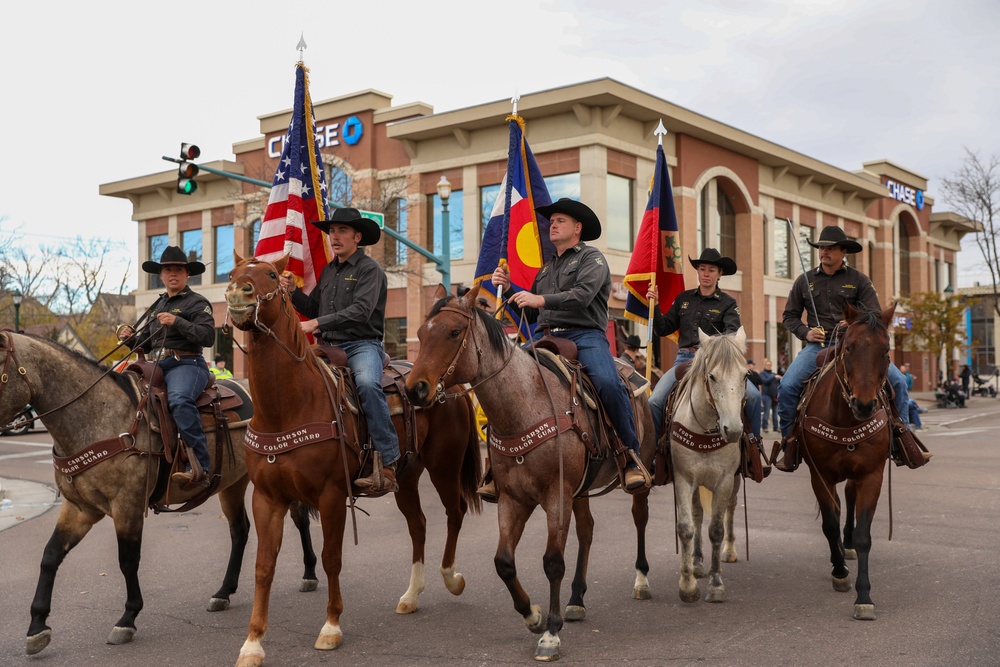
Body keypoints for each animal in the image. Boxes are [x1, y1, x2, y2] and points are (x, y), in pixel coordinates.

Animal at [0, 332, 316, 656]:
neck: (99, 416)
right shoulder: (80, 508)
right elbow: (50, 556)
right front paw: (37, 626)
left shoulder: (127, 505)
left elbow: (127, 560)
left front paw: (127, 618)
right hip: (231, 482)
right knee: (239, 530)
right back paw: (223, 592)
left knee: (300, 519)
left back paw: (309, 574)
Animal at [226, 252, 480, 667]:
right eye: (232, 273)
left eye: (270, 275)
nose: (237, 293)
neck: (288, 406)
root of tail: (448, 384)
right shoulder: (267, 498)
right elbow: (263, 567)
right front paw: (252, 644)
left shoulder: (331, 495)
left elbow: (331, 557)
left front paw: (331, 627)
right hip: (406, 476)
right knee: (419, 524)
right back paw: (412, 594)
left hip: (445, 465)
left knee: (454, 512)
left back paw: (452, 578)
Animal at [402, 286, 660, 664]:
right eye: (421, 334)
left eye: (453, 332)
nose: (414, 389)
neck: (523, 407)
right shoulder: (513, 499)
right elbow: (504, 563)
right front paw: (533, 616)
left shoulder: (556, 495)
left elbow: (552, 562)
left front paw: (550, 634)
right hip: (580, 490)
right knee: (587, 530)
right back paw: (576, 599)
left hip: (636, 474)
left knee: (640, 517)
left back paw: (642, 580)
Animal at [668, 328, 748, 604]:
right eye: (712, 376)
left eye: (746, 375)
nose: (732, 430)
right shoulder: (682, 478)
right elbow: (686, 527)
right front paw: (687, 584)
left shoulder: (724, 480)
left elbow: (716, 529)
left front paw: (715, 584)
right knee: (697, 515)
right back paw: (697, 562)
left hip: (734, 481)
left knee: (731, 508)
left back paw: (729, 550)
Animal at [796, 302, 900, 620]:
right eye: (850, 347)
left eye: (885, 350)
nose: (864, 405)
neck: (844, 418)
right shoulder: (819, 475)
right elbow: (829, 523)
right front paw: (840, 572)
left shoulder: (871, 475)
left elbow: (864, 534)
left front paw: (864, 596)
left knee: (850, 499)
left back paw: (849, 544)